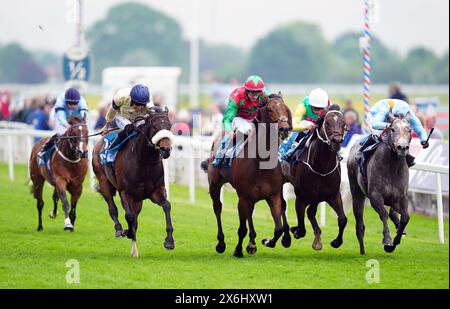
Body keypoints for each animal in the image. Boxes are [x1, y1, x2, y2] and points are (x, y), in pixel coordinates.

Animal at [92, 107, 173, 256]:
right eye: (154, 127)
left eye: (169, 126)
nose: (166, 150)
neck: (144, 161)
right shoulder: (125, 192)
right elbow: (129, 216)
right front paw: (127, 232)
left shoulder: (156, 191)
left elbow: (166, 206)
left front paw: (169, 241)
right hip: (104, 181)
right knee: (113, 208)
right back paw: (119, 229)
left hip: (138, 200)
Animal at [204, 94, 292, 258]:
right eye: (270, 109)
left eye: (286, 108)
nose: (284, 129)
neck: (260, 163)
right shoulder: (243, 197)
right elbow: (242, 229)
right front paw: (238, 250)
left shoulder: (273, 195)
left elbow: (278, 228)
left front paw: (267, 241)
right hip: (215, 183)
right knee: (217, 207)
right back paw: (221, 243)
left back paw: (252, 243)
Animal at [284, 106, 348, 250]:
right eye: (327, 123)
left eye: (344, 124)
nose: (336, 141)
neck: (321, 167)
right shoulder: (303, 195)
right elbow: (303, 218)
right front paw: (297, 231)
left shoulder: (332, 194)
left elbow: (342, 219)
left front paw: (336, 242)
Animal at [348, 112, 414, 254]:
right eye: (393, 129)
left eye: (409, 129)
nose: (402, 147)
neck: (393, 168)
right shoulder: (375, 196)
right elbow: (383, 214)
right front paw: (387, 240)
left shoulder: (402, 197)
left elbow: (405, 218)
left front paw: (395, 241)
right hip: (357, 194)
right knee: (360, 225)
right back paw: (362, 250)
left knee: (394, 214)